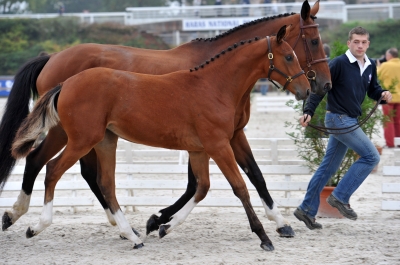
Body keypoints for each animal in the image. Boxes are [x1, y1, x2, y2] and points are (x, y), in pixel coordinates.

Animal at [0, 0, 330, 235]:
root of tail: (51, 58)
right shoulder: (209, 140)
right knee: (40, 161)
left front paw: (281, 222)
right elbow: (195, 185)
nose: (323, 86)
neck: (217, 75)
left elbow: (254, 175)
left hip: (89, 136)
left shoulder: (231, 135)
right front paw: (157, 219)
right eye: (313, 41)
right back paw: (16, 214)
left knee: (83, 173)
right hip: (68, 133)